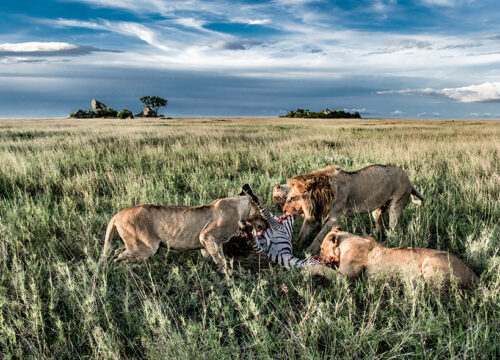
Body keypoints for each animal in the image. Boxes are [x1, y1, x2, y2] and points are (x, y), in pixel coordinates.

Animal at [99, 194, 268, 268]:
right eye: (262, 211)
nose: (266, 224)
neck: (241, 208)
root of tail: (117, 215)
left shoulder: (207, 242)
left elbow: (212, 254)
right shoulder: (207, 235)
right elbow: (221, 260)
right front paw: (228, 276)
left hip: (133, 245)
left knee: (117, 252)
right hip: (145, 247)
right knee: (118, 258)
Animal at [280, 165, 424, 253]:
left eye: (291, 198)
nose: (283, 211)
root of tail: (409, 178)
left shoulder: (333, 217)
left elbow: (319, 236)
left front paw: (309, 251)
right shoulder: (313, 215)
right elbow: (303, 232)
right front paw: (296, 245)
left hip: (397, 205)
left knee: (393, 229)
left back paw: (388, 242)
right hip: (377, 209)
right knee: (380, 222)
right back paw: (374, 235)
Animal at [320, 228, 480, 286]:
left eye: (321, 249)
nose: (319, 256)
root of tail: (473, 274)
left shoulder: (347, 276)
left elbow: (325, 271)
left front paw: (313, 267)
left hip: (431, 263)